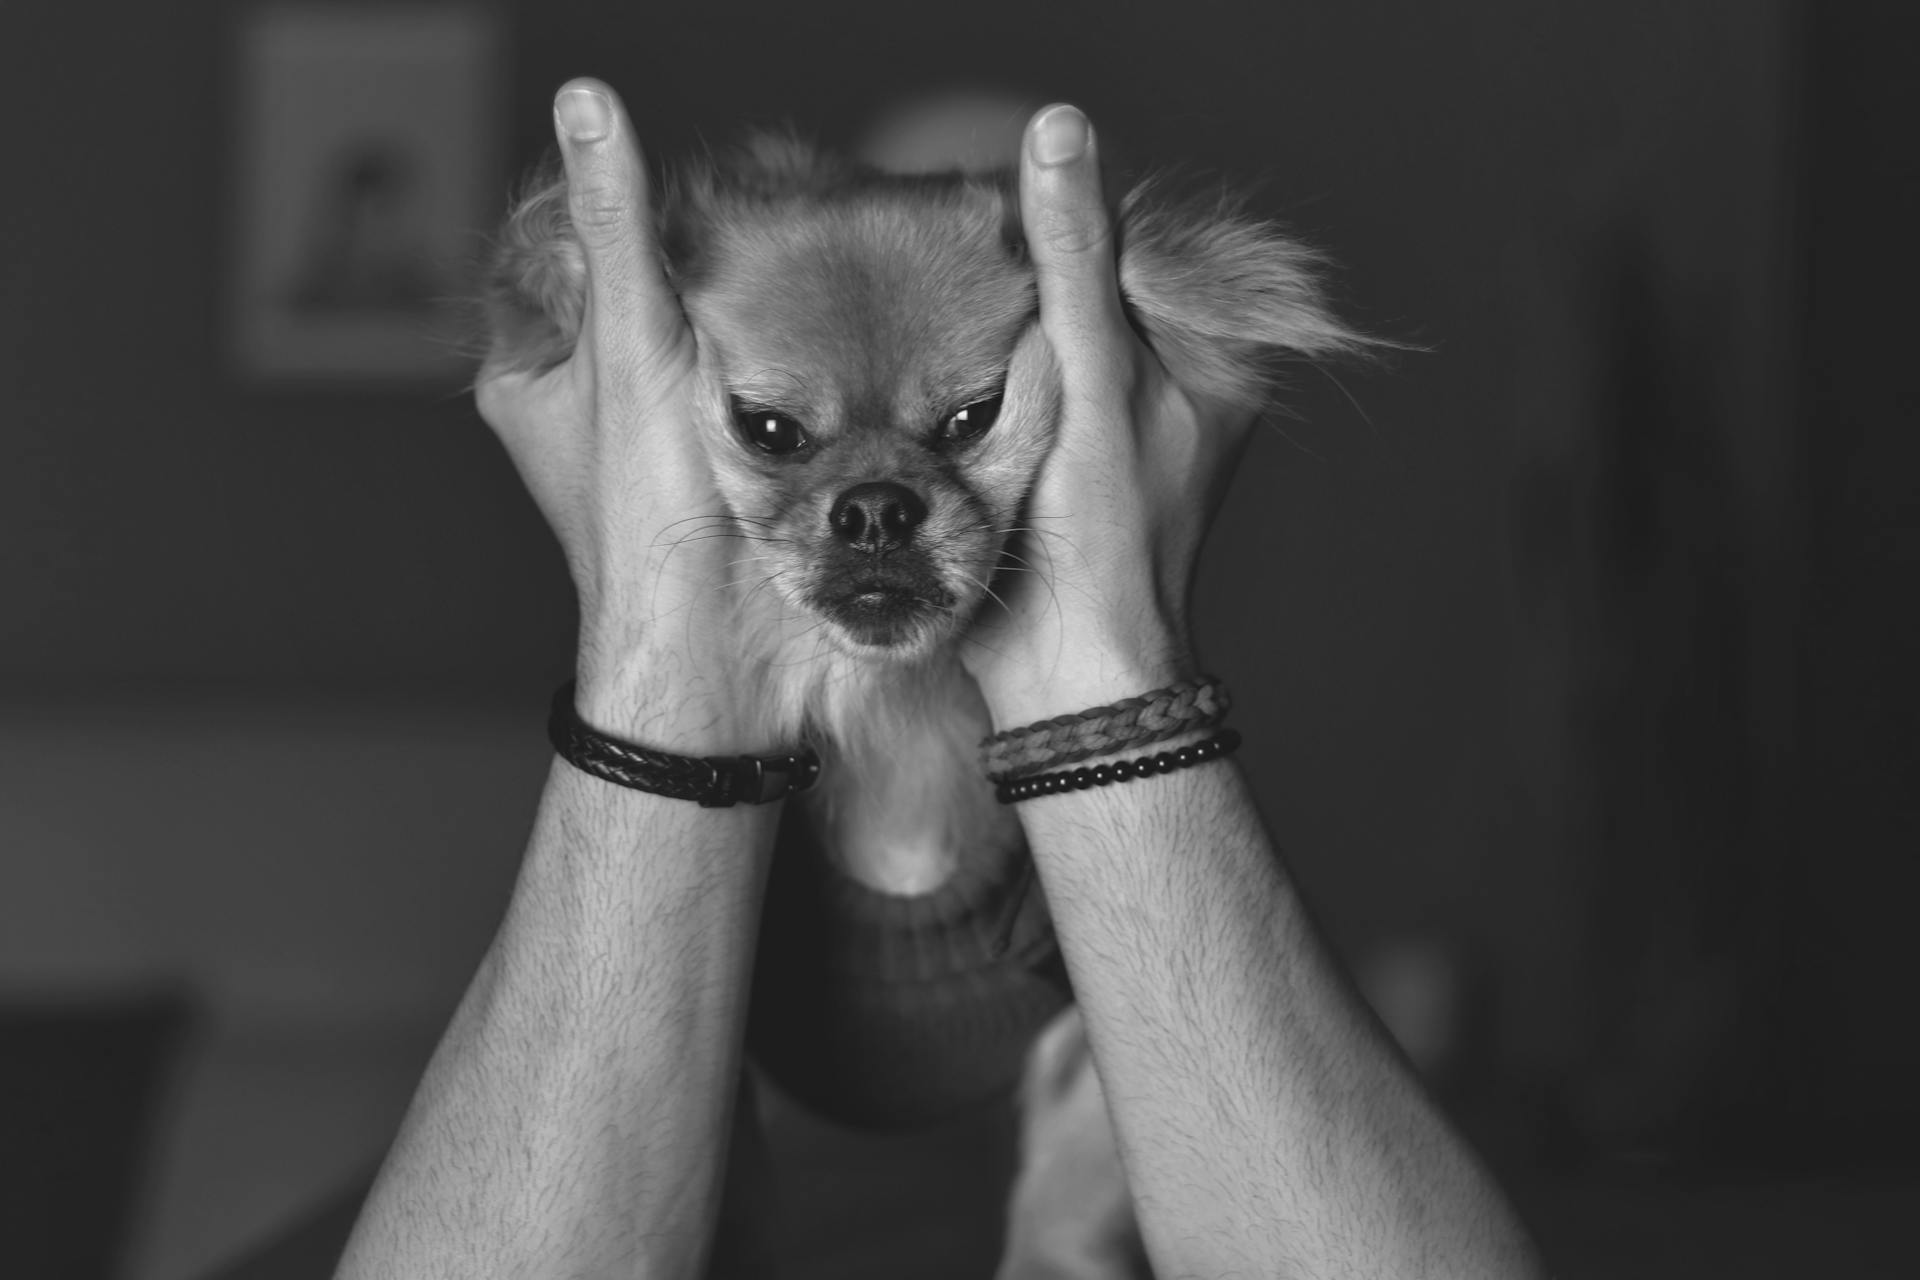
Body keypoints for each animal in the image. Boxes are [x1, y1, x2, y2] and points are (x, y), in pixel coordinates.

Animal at [487, 132, 1359, 1280]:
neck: (889, 712)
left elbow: (1064, 1201)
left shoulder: (1074, 1039)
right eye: (770, 430)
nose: (874, 508)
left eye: (970, 418)